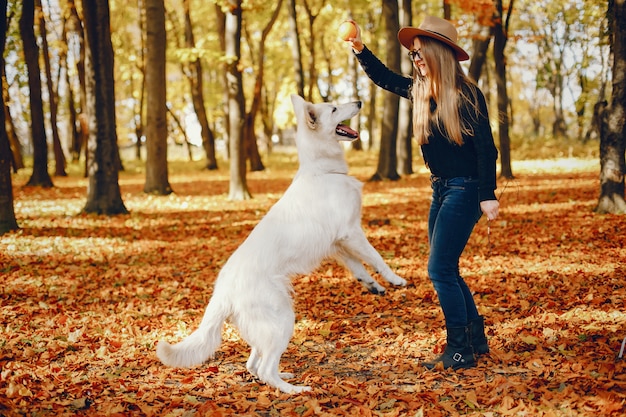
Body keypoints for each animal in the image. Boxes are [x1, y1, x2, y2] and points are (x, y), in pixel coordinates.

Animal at [156, 94, 404, 394]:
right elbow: (377, 258)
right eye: (333, 108)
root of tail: (223, 291)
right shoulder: (351, 233)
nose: (358, 101)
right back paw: (294, 390)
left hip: (266, 326)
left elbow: (359, 267)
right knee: (264, 369)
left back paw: (283, 378)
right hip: (283, 319)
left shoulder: (337, 244)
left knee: (254, 365)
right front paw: (396, 279)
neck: (324, 170)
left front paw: (373, 285)